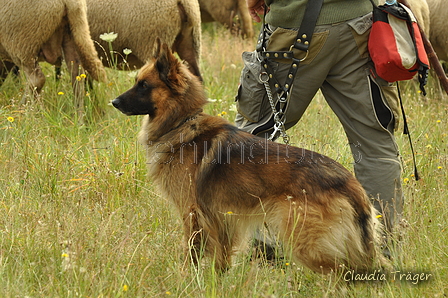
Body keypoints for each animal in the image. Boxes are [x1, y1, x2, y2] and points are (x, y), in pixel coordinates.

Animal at [112, 42, 382, 274]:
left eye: (144, 85)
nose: (113, 101)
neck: (183, 121)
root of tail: (352, 184)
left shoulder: (193, 214)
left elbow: (191, 253)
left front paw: (187, 278)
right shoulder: (220, 221)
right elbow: (220, 257)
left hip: (305, 243)